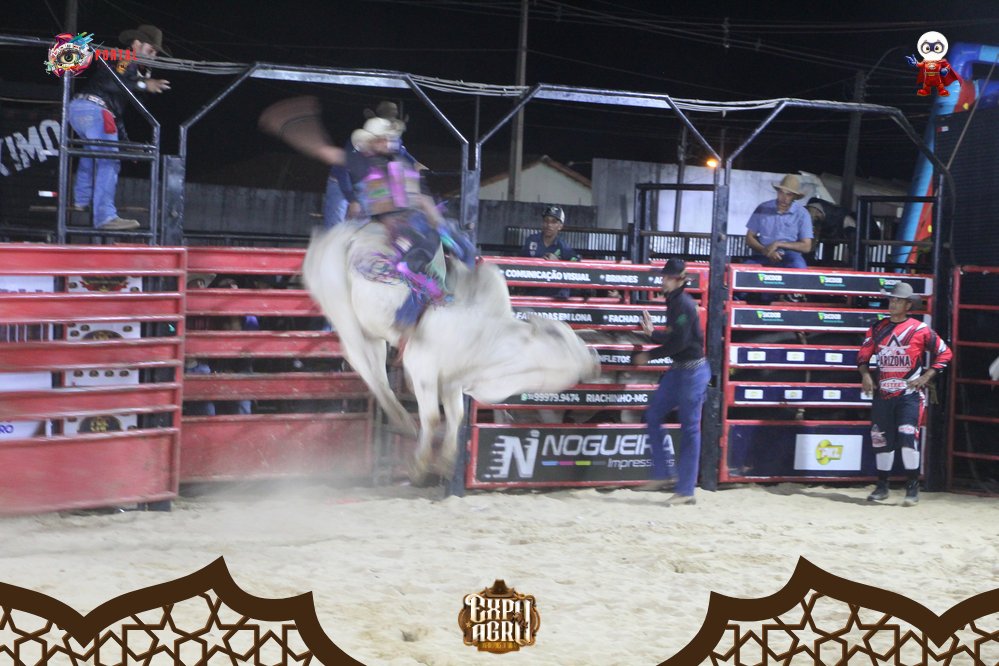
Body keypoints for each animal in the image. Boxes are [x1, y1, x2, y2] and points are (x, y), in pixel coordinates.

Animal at [302, 221, 601, 482]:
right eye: (557, 334)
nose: (595, 359)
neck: (485, 337)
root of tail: (339, 233)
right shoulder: (423, 368)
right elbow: (433, 417)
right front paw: (420, 467)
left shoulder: (453, 379)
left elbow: (456, 417)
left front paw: (446, 462)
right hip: (341, 307)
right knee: (361, 358)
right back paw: (403, 420)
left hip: (370, 328)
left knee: (373, 364)